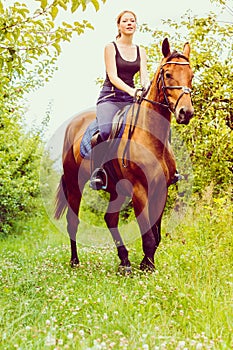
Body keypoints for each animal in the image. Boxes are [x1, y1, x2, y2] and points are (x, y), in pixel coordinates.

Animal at [54, 39, 193, 274]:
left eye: (191, 75)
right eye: (167, 74)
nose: (186, 112)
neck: (150, 137)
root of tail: (74, 124)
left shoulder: (160, 190)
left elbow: (155, 235)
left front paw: (146, 264)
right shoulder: (139, 190)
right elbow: (147, 234)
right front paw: (148, 268)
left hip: (116, 191)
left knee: (110, 219)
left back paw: (124, 261)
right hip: (74, 184)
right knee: (73, 222)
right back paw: (75, 262)